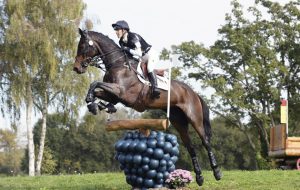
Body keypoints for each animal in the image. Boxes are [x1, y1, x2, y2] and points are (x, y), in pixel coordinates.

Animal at [73, 28, 221, 186]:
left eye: (82, 46)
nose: (76, 68)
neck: (118, 64)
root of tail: (193, 92)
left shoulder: (120, 91)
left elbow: (95, 84)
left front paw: (92, 101)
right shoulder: (114, 95)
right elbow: (98, 90)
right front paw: (96, 105)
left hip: (194, 118)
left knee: (205, 142)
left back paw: (217, 172)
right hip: (179, 121)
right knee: (190, 147)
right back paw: (199, 177)